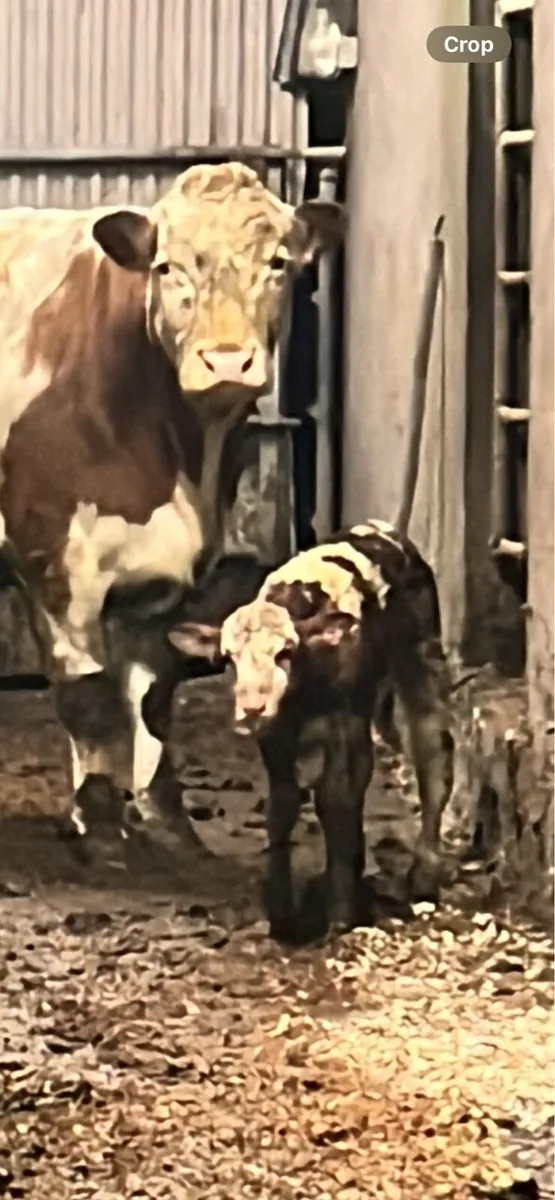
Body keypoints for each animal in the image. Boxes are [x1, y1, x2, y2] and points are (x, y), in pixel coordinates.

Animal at [0, 162, 344, 858]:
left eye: (278, 262)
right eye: (167, 267)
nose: (227, 359)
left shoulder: (162, 584)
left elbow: (154, 696)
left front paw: (170, 826)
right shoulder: (55, 563)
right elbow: (88, 697)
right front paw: (102, 828)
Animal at [168, 520, 455, 939]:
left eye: (285, 652)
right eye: (228, 658)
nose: (251, 708)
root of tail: (382, 530)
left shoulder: (345, 723)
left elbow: (336, 801)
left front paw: (341, 912)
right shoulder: (275, 737)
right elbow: (282, 807)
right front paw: (282, 911)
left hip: (421, 655)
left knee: (433, 755)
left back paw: (422, 877)